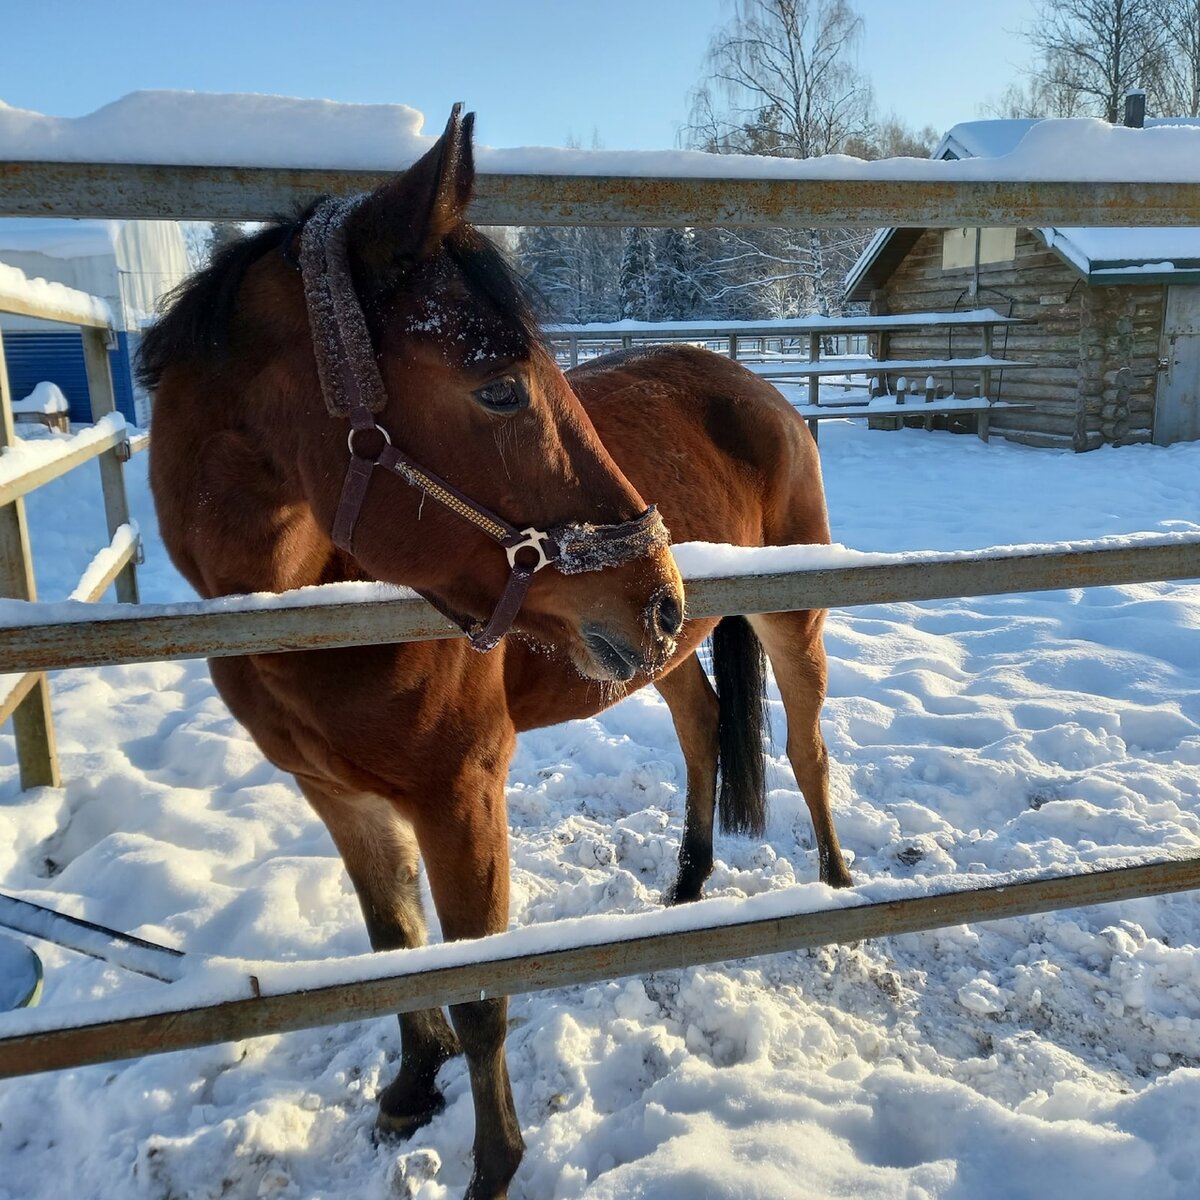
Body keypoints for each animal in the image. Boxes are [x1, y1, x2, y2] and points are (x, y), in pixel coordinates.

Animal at [142, 108, 854, 1195]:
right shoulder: (341, 799)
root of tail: (755, 385)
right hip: (664, 660)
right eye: (501, 390)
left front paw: (492, 1161)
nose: (658, 595)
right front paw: (407, 1088)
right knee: (699, 729)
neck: (317, 616)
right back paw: (686, 884)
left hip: (791, 619)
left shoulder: (462, 795)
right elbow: (394, 943)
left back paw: (839, 893)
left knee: (810, 754)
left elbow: (480, 990)